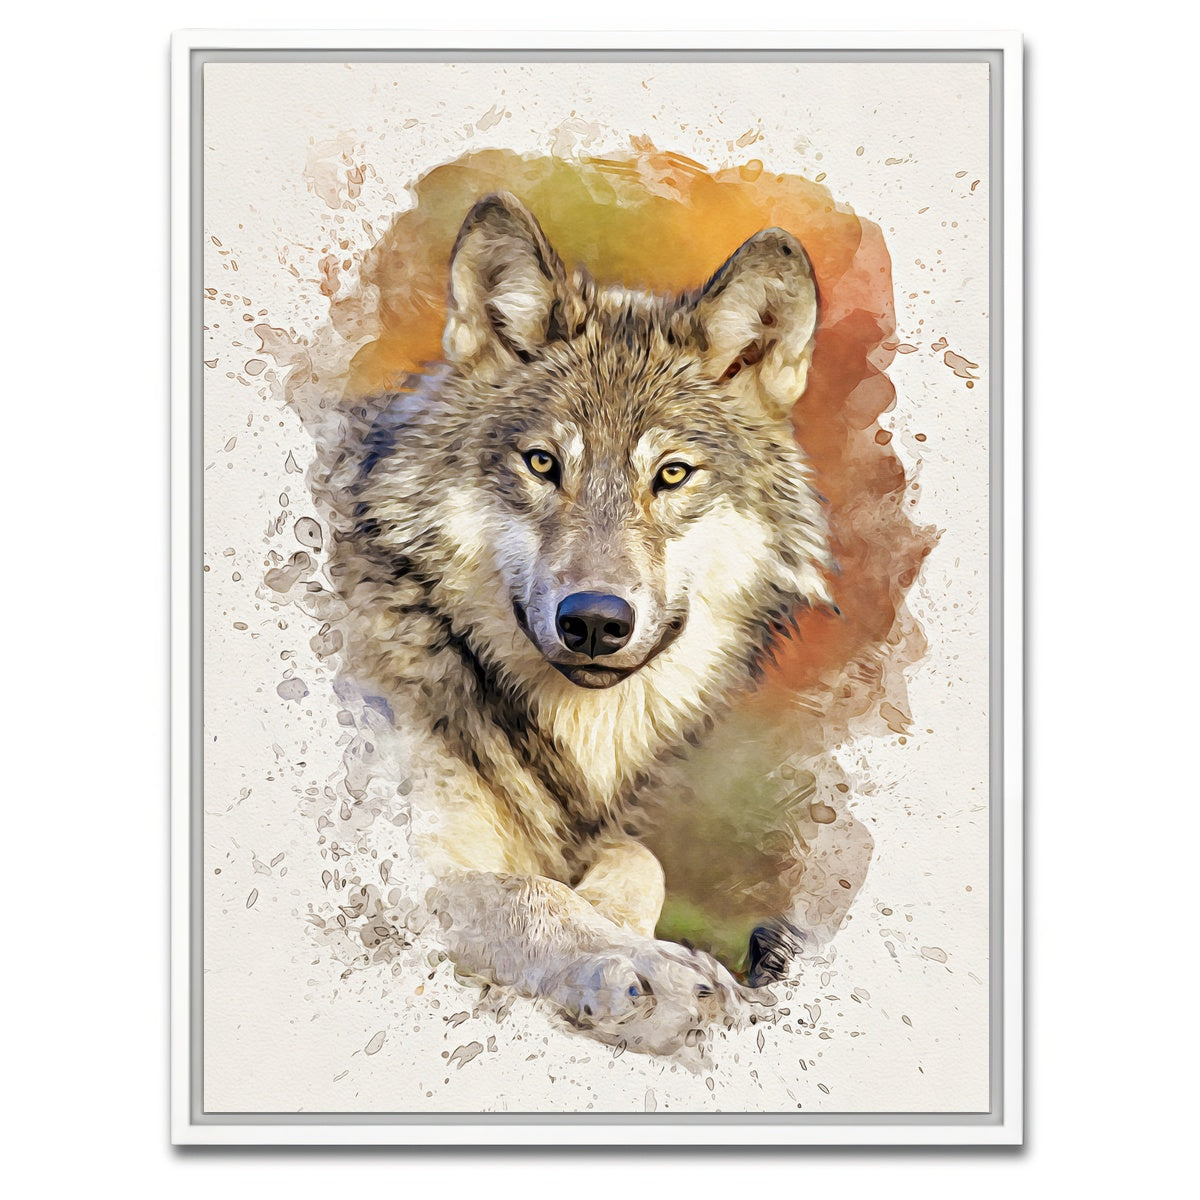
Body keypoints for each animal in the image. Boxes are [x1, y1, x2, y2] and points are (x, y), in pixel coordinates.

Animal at [316, 192, 838, 1053]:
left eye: (671, 474)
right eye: (542, 464)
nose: (594, 622)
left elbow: (636, 861)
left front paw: (623, 926)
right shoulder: (383, 860)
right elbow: (530, 894)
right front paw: (648, 970)